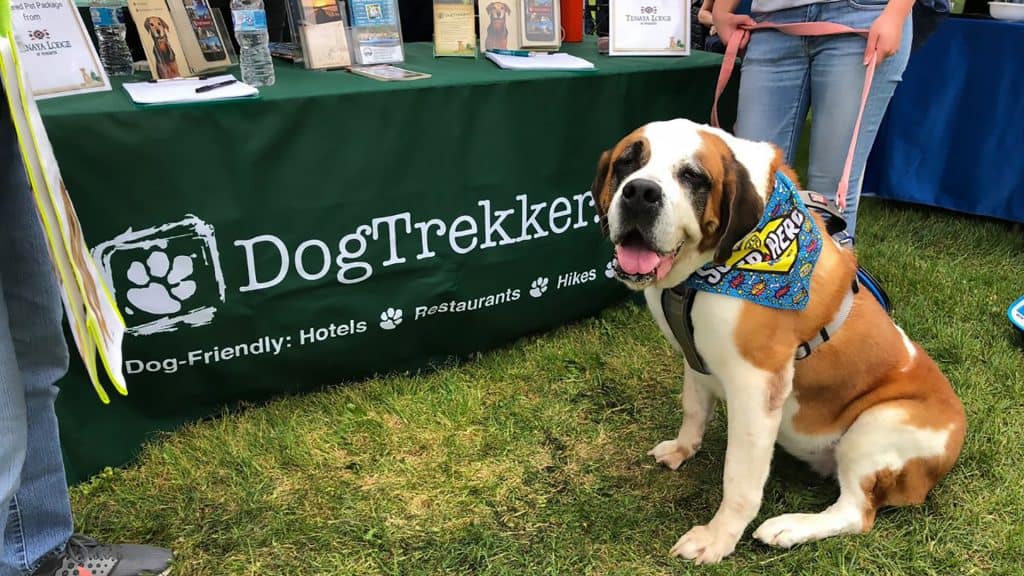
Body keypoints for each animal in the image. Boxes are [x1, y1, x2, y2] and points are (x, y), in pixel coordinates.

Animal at [589, 118, 962, 561]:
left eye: (693, 177)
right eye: (628, 162)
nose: (641, 192)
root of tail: (956, 437)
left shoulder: (757, 386)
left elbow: (740, 476)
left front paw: (716, 538)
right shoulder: (695, 359)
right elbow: (693, 409)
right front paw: (682, 449)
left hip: (878, 423)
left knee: (857, 512)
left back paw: (788, 528)